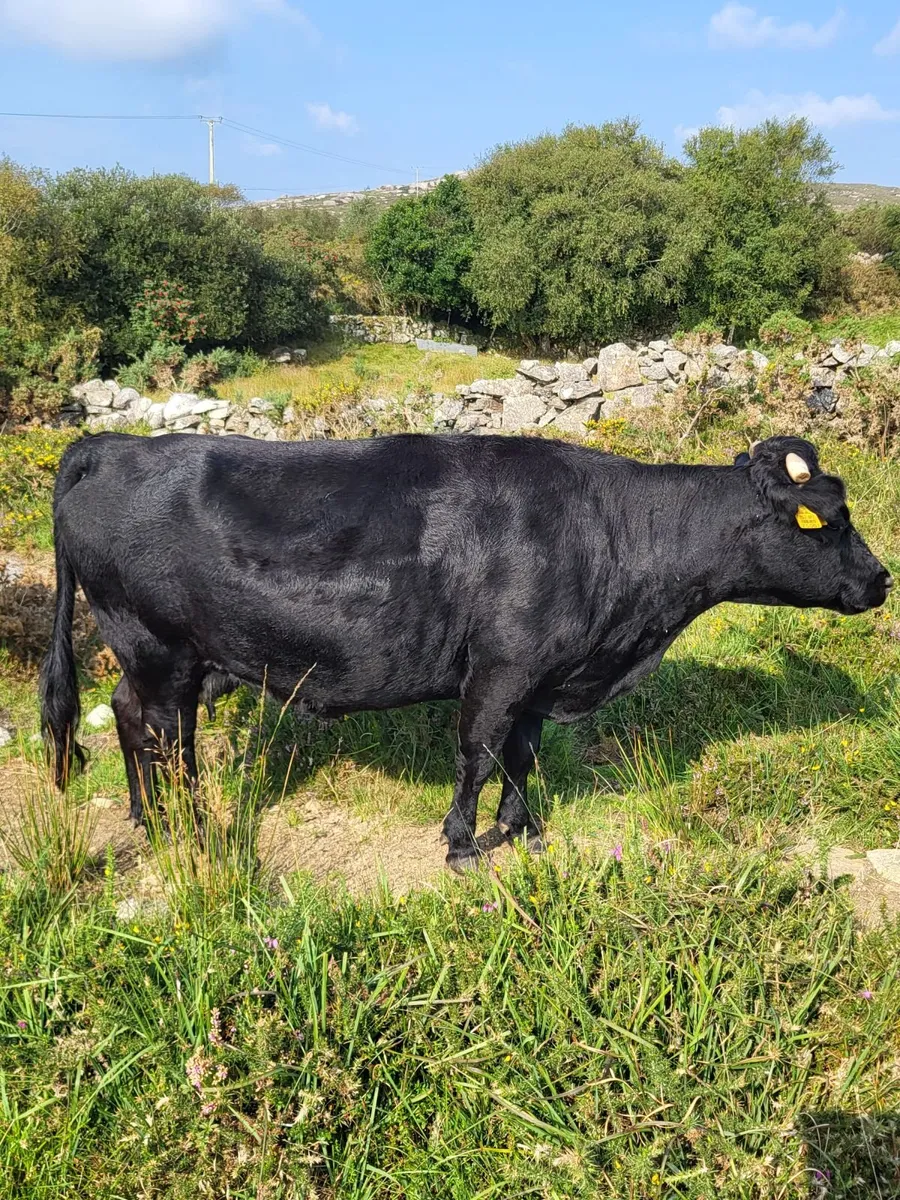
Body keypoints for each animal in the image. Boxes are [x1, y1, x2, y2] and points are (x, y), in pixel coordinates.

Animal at [40, 431, 891, 872]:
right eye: (833, 519)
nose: (883, 579)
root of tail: (112, 445)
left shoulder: (542, 675)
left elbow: (522, 755)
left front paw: (524, 829)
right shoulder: (500, 666)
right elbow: (478, 753)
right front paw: (461, 845)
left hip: (166, 657)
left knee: (131, 717)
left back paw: (149, 817)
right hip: (158, 646)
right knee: (163, 735)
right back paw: (187, 828)